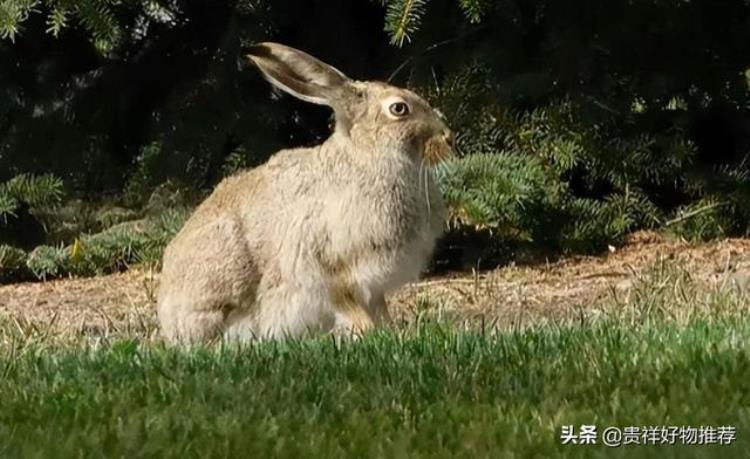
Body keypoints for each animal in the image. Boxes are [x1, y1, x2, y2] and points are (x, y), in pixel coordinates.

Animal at [156, 43, 456, 344]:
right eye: (399, 108)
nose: (449, 137)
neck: (368, 155)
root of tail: (168, 318)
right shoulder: (331, 272)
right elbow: (353, 311)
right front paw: (370, 334)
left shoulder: (373, 288)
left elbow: (379, 310)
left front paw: (389, 331)